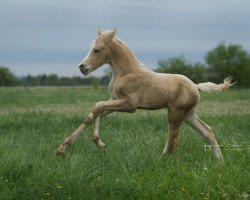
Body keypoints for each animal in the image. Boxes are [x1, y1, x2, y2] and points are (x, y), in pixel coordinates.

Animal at [56, 27, 234, 161]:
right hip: (188, 114)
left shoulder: (130, 105)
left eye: (97, 50)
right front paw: (62, 149)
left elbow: (97, 106)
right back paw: (220, 162)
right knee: (207, 132)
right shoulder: (115, 100)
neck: (125, 73)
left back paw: (159, 162)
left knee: (173, 140)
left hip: (175, 113)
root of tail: (195, 86)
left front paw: (99, 143)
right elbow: (94, 113)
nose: (82, 67)